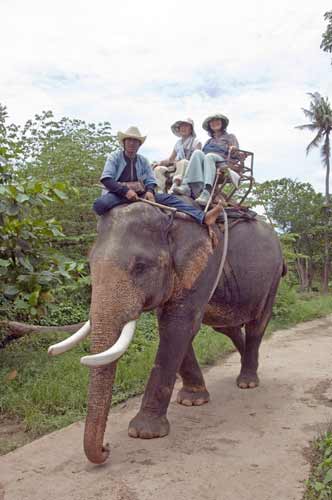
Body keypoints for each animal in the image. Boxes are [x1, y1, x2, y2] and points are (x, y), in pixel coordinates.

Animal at [48, 199, 284, 464]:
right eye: (89, 264)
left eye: (140, 267)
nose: (106, 448)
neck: (167, 217)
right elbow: (172, 326)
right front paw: (193, 401)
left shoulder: (204, 266)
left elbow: (178, 325)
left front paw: (144, 432)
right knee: (228, 327)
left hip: (272, 278)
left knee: (257, 324)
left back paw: (247, 382)